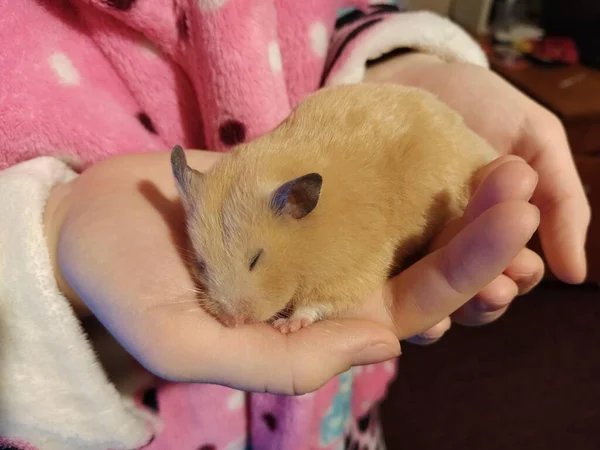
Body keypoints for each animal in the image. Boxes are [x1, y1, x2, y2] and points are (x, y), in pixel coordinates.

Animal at [170, 81, 496, 334]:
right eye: (201, 264)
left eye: (256, 259)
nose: (231, 321)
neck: (305, 245)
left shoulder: (352, 266)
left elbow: (319, 302)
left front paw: (288, 325)